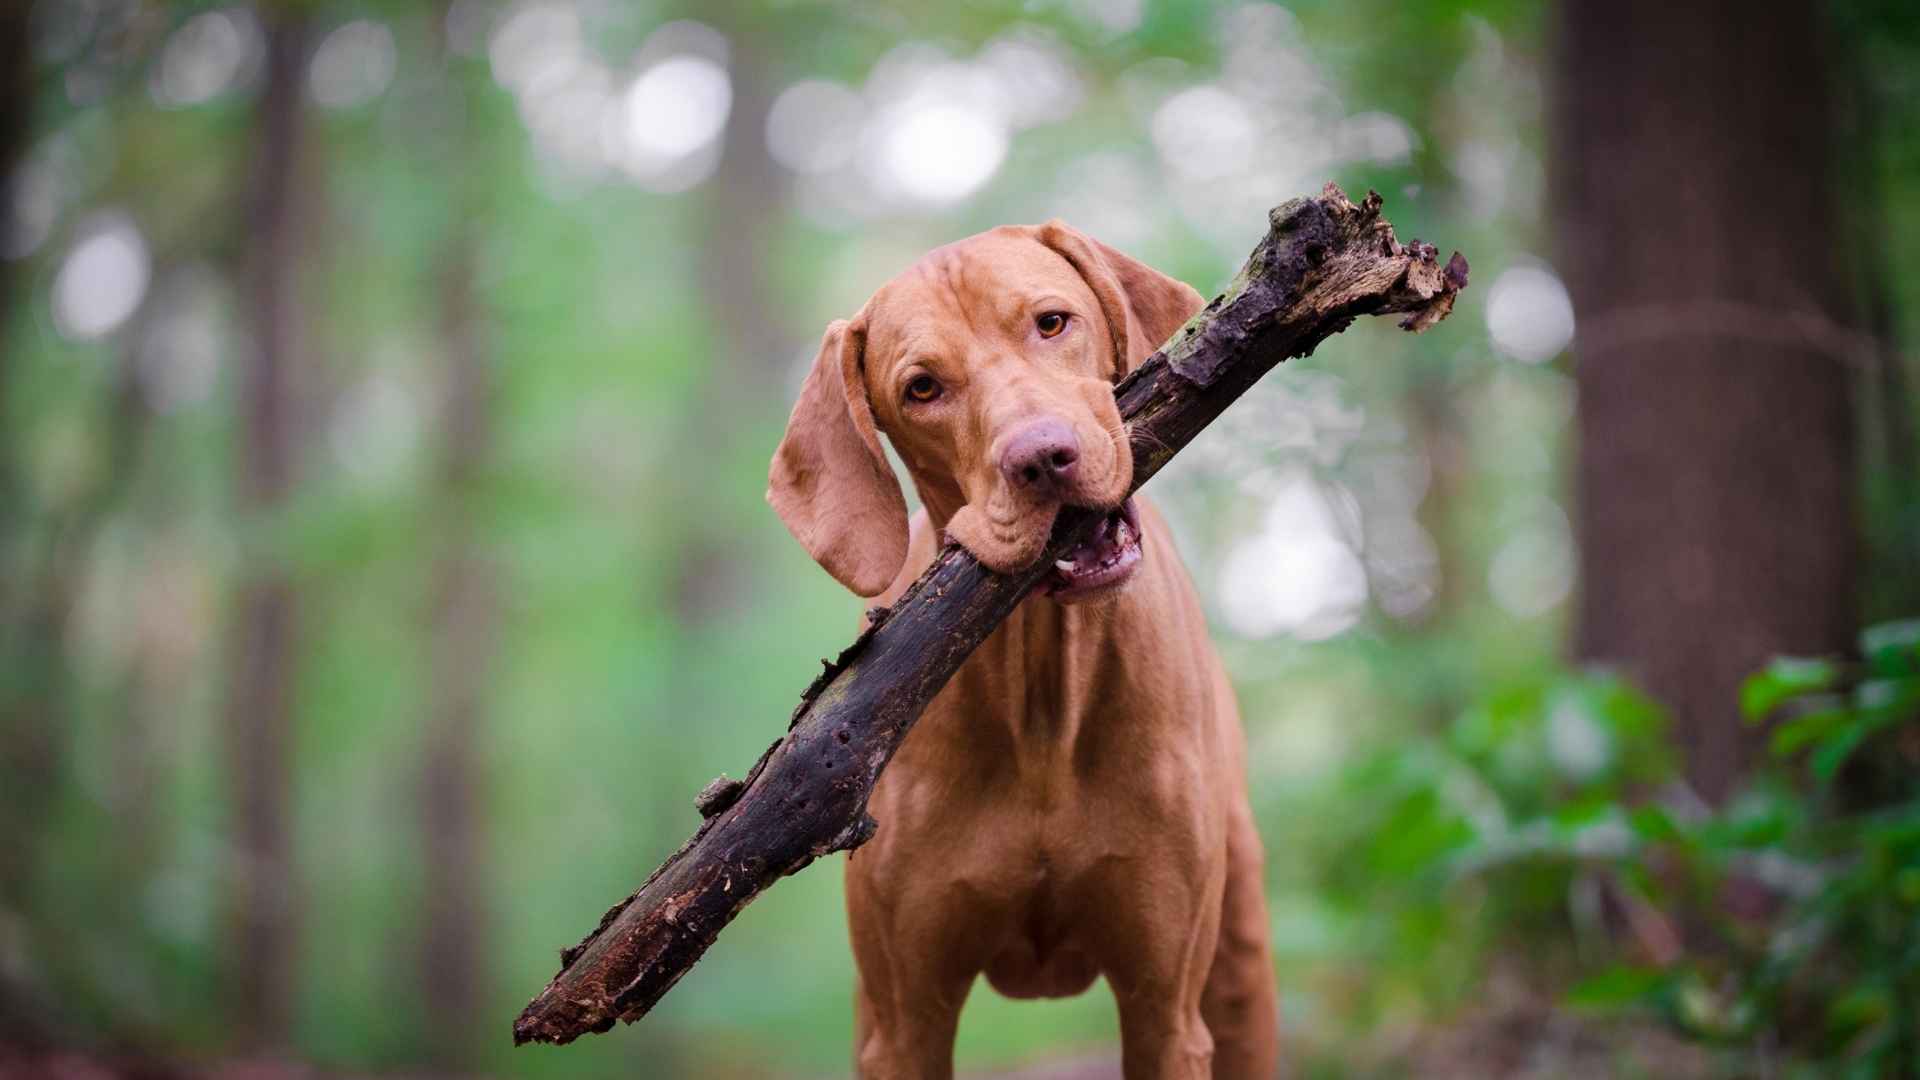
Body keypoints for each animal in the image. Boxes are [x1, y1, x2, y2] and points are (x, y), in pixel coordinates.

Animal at [764, 222, 1274, 1068]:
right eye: (922, 389)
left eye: (1051, 323)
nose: (1042, 458)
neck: (1042, 689)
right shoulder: (908, 1023)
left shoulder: (1165, 1013)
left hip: (1238, 966)